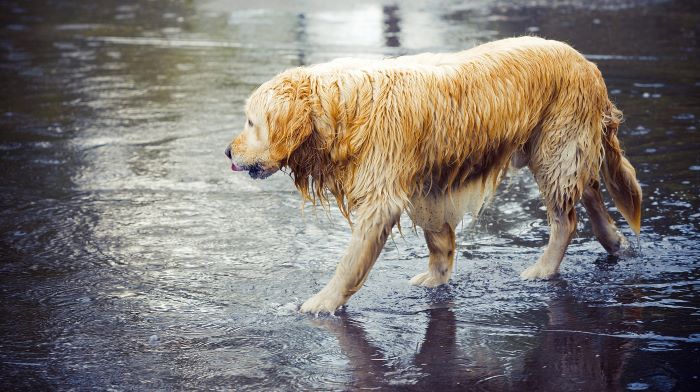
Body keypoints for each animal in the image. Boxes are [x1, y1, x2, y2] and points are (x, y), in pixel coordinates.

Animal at [224, 36, 640, 312]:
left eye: (251, 121)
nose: (228, 151)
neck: (343, 111)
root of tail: (589, 65)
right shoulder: (428, 185)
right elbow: (439, 240)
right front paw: (436, 278)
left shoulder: (383, 194)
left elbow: (351, 261)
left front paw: (322, 301)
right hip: (556, 148)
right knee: (589, 188)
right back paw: (614, 241)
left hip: (555, 147)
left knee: (566, 217)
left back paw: (543, 268)